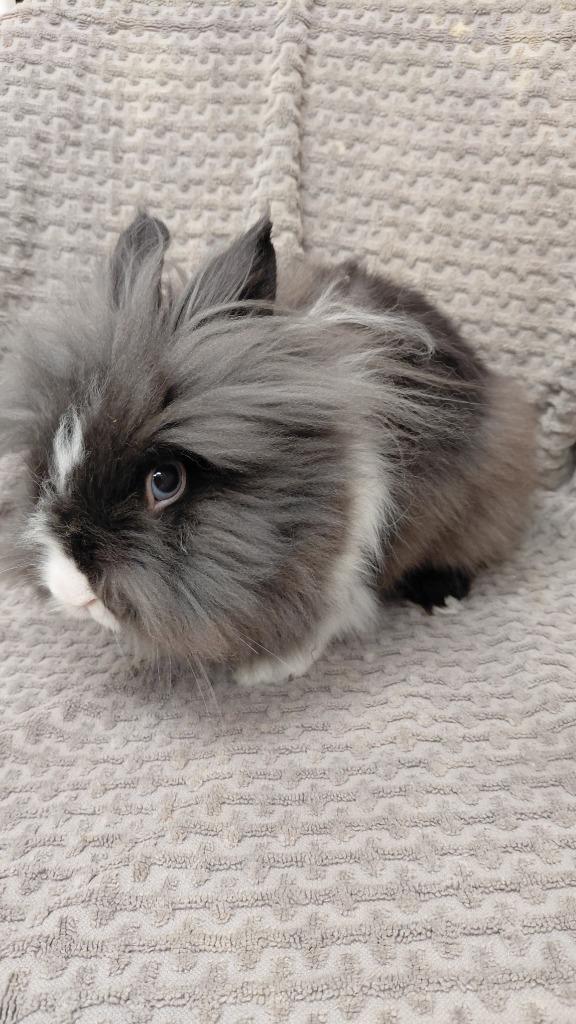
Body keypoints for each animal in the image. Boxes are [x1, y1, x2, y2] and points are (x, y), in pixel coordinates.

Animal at [0, 212, 536, 686]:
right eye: (49, 458)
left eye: (165, 481)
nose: (71, 592)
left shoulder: (346, 565)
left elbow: (326, 617)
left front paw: (267, 671)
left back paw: (442, 595)